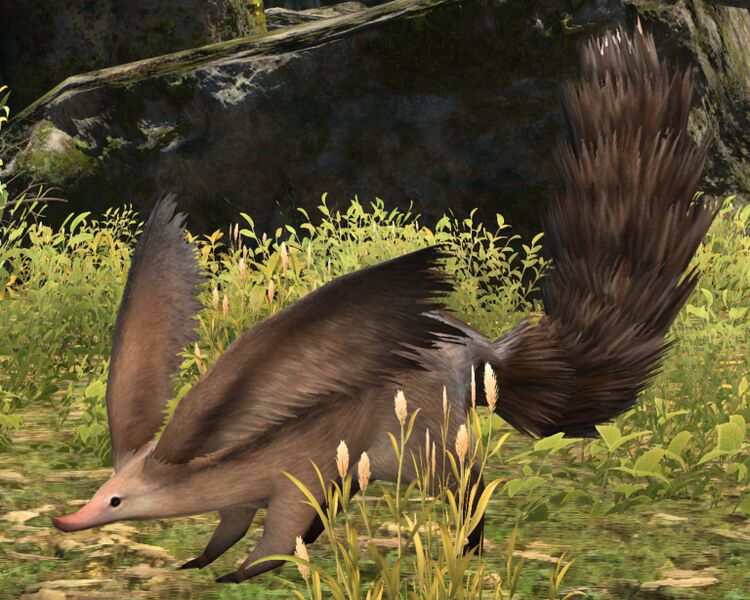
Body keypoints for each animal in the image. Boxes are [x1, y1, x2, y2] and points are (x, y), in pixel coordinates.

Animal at [52, 23, 718, 584]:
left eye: (115, 498)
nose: (67, 519)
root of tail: (485, 359)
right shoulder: (266, 487)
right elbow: (234, 524)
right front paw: (201, 559)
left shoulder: (302, 469)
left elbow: (279, 528)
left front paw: (242, 571)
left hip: (425, 441)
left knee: (467, 491)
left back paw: (468, 549)